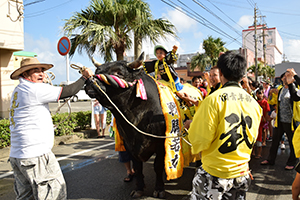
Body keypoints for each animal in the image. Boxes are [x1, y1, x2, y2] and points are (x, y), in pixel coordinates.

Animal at [85, 54, 188, 198]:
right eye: (97, 71)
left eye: (118, 73)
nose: (90, 82)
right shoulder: (129, 145)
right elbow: (138, 167)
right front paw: (139, 188)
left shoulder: (161, 144)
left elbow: (157, 166)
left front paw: (159, 189)